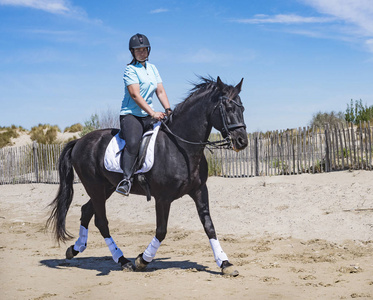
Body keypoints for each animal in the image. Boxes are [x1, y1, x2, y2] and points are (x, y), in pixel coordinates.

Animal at [47, 76, 247, 276]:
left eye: (242, 109)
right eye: (228, 108)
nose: (242, 141)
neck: (181, 147)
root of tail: (79, 141)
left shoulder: (199, 190)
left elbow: (209, 226)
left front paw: (225, 263)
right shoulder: (163, 198)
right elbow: (161, 230)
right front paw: (142, 260)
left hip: (106, 188)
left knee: (86, 211)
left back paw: (75, 249)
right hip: (94, 187)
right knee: (101, 221)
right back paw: (123, 260)